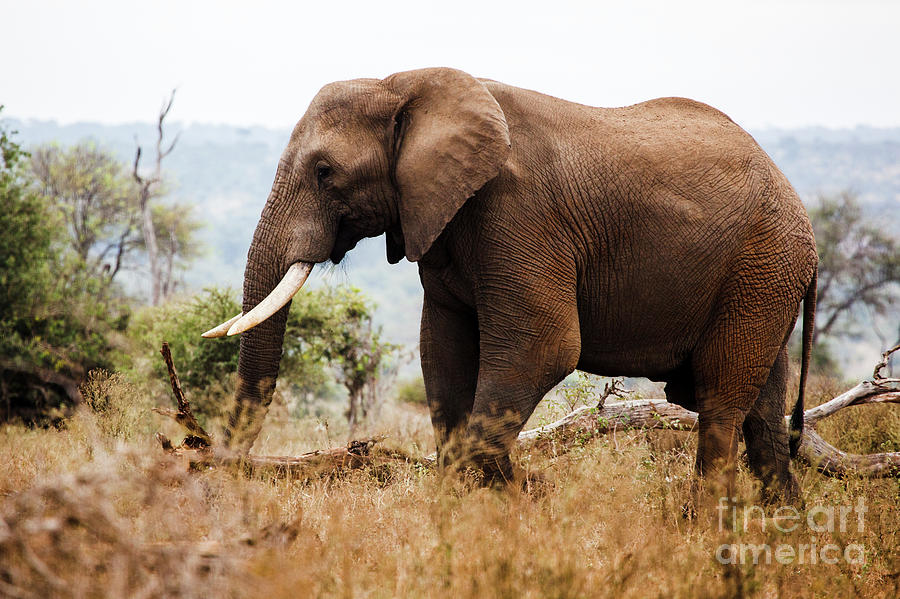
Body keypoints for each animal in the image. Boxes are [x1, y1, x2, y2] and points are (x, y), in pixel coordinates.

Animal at [204, 67, 816, 502]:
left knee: (719, 399)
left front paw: (516, 500)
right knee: (762, 411)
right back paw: (782, 525)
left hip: (761, 265)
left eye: (325, 172)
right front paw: (465, 510)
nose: (218, 471)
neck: (403, 84)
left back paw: (703, 527)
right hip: (764, 278)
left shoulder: (519, 214)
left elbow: (543, 346)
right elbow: (443, 351)